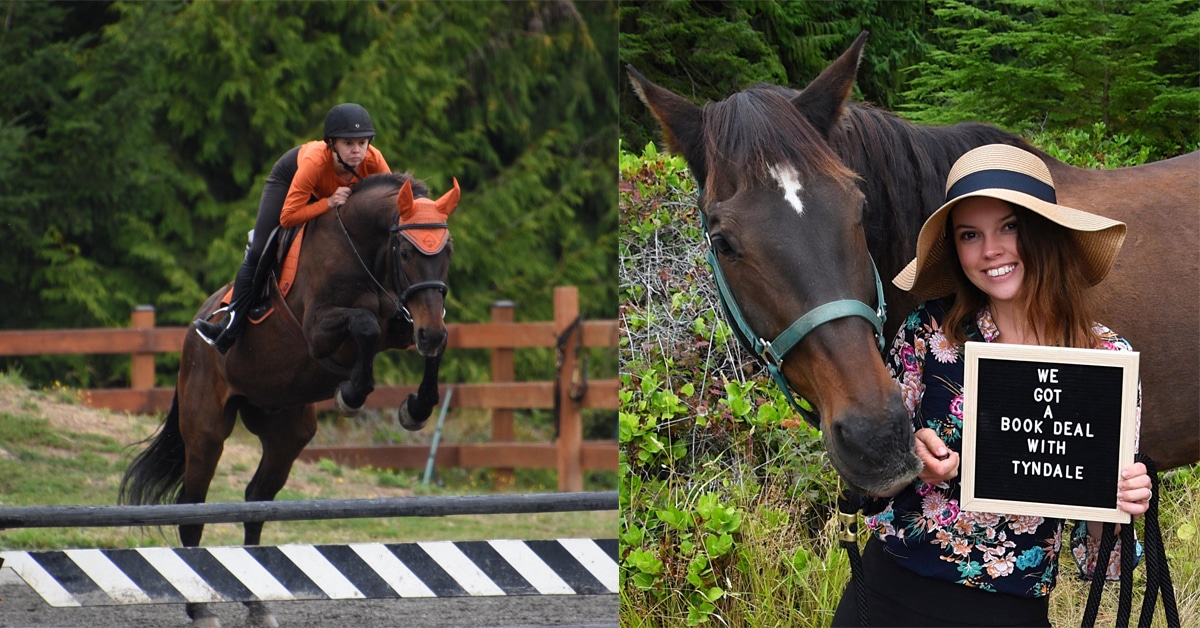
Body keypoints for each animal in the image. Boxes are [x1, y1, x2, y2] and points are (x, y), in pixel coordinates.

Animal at [119, 173, 458, 628]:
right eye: (405, 251)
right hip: (206, 431)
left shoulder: (408, 324)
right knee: (191, 509)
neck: (363, 251)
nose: (430, 332)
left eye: (447, 251)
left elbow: (425, 345)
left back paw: (259, 603)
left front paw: (416, 408)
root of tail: (196, 329)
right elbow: (365, 326)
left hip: (286, 432)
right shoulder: (320, 331)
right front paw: (352, 394)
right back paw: (201, 608)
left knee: (256, 501)